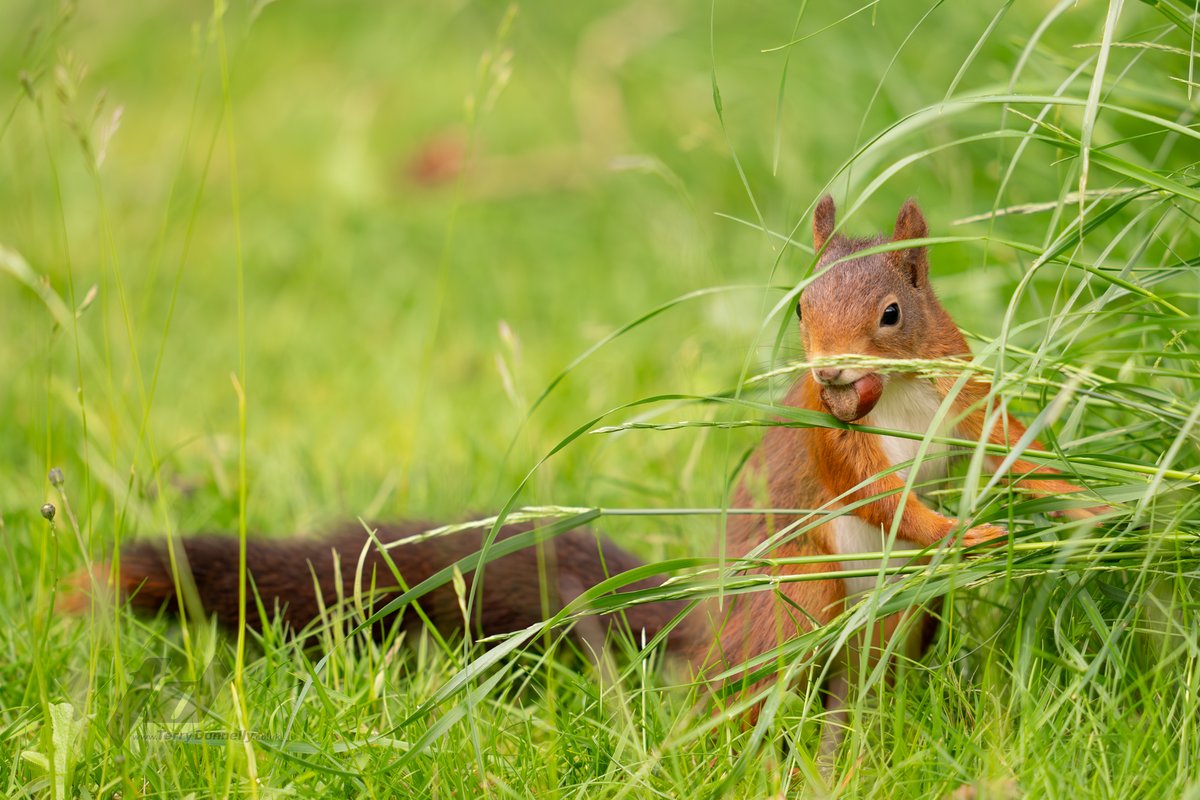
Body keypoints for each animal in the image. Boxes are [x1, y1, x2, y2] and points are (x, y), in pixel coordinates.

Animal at [62, 196, 1105, 749]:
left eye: (892, 312)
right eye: (802, 308)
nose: (831, 372)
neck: (891, 402)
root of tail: (707, 630)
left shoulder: (964, 394)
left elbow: (1012, 445)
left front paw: (1079, 501)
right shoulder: (830, 443)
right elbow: (877, 495)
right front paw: (961, 529)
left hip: (899, 626)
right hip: (799, 596)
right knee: (757, 691)